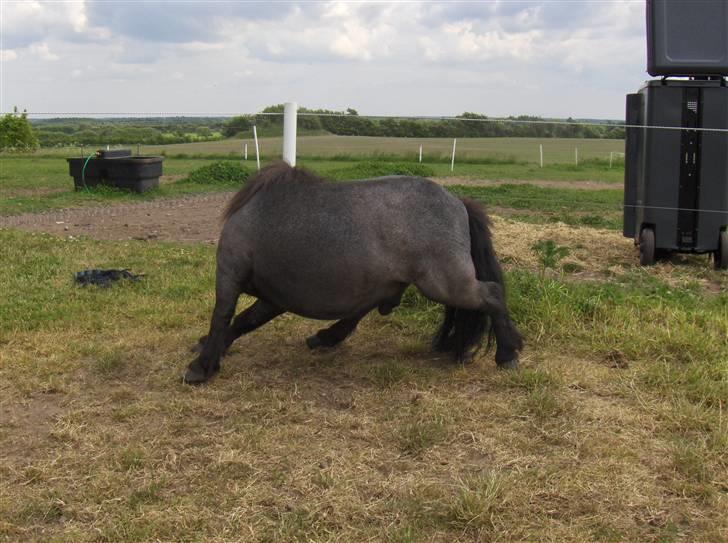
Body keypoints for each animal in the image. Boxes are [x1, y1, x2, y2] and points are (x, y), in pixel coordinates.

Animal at [185, 162, 520, 382]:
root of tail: (458, 201)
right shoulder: (274, 297)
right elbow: (243, 321)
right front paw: (210, 350)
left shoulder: (230, 275)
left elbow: (222, 317)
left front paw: (202, 366)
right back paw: (326, 337)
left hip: (445, 283)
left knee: (492, 295)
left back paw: (507, 355)